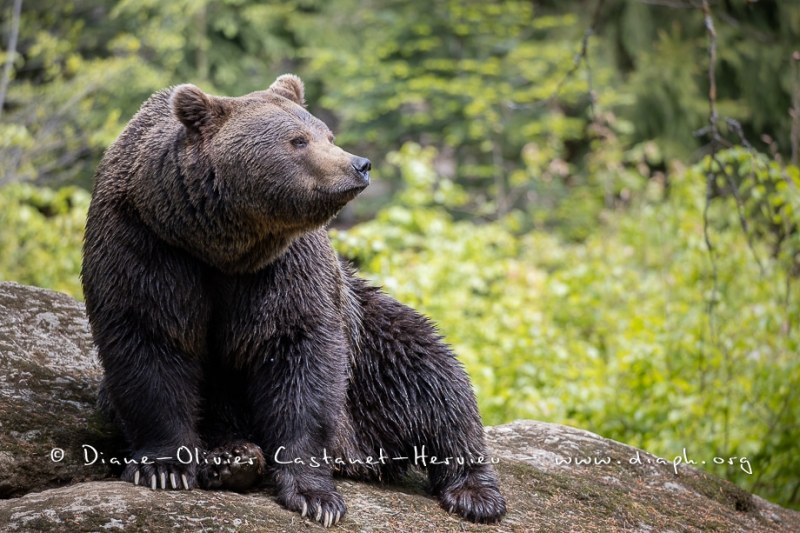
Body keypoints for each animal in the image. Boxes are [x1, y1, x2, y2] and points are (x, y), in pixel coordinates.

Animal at [81, 72, 506, 524]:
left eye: (328, 133)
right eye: (298, 140)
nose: (359, 164)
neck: (220, 244)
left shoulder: (286, 268)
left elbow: (300, 359)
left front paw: (315, 496)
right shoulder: (146, 244)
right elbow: (149, 340)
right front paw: (164, 468)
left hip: (367, 354)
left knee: (429, 374)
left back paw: (474, 492)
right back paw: (233, 459)